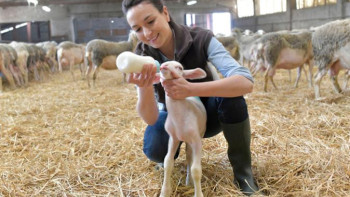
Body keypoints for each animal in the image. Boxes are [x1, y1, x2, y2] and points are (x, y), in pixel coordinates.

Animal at [154, 60, 206, 197]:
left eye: (180, 67)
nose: (164, 66)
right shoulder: (173, 138)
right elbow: (168, 162)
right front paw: (165, 192)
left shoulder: (196, 140)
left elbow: (196, 169)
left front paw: (198, 194)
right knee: (188, 157)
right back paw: (189, 181)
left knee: (190, 158)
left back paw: (190, 181)